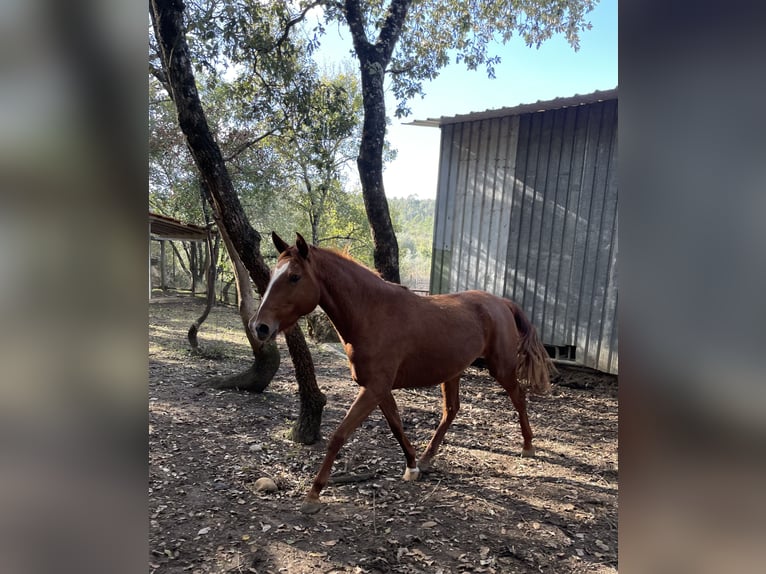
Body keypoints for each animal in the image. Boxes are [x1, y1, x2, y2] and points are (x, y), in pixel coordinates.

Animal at [255, 232, 556, 516]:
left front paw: (313, 495)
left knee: (518, 397)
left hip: (501, 367)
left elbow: (339, 436)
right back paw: (427, 458)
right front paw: (412, 466)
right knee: (451, 410)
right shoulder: (378, 388)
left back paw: (528, 446)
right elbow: (396, 426)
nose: (260, 327)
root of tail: (502, 302)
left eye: (294, 277)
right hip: (453, 372)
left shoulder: (374, 388)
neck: (372, 313)